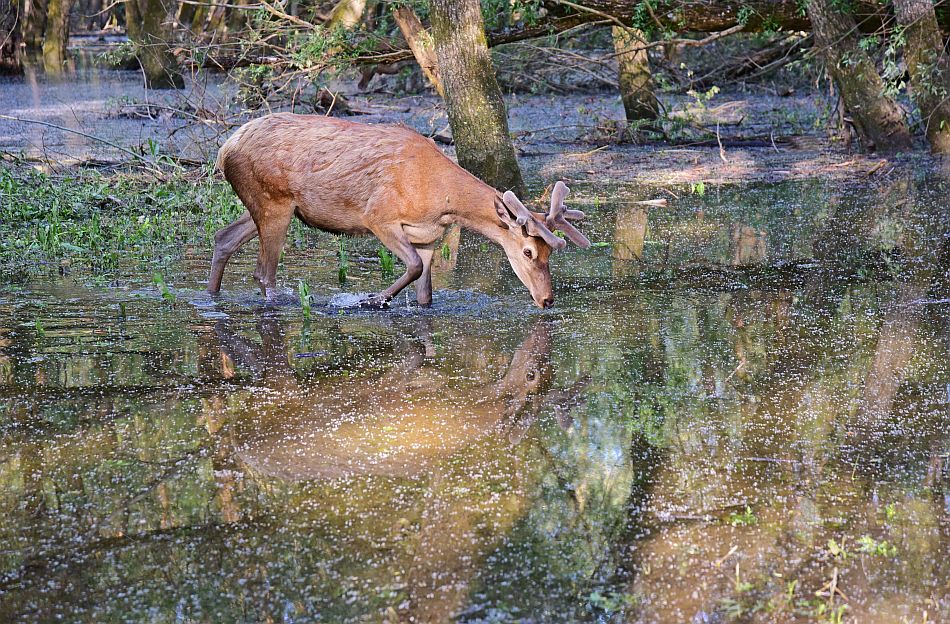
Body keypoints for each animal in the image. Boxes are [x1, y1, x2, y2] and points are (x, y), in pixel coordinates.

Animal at [209, 113, 592, 308]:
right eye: (528, 251)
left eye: (550, 254)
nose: (548, 299)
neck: (442, 202)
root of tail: (224, 149)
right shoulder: (378, 217)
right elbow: (412, 266)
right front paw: (370, 299)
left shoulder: (428, 237)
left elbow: (426, 296)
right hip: (274, 200)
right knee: (263, 272)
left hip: (265, 204)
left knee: (223, 237)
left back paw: (211, 296)